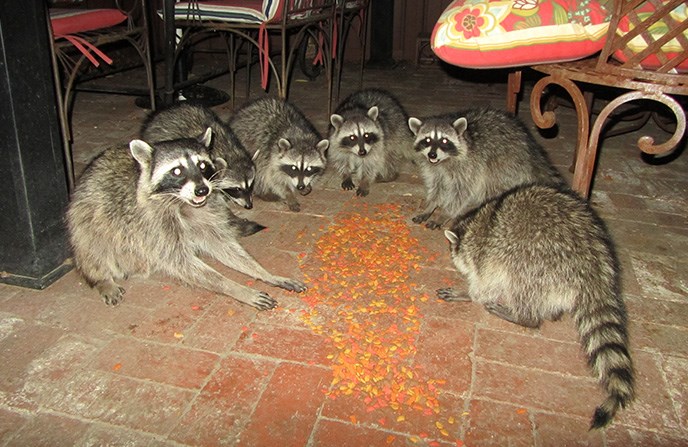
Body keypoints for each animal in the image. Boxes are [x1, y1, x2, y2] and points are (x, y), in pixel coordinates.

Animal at [66, 130, 306, 310]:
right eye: (177, 171)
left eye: (202, 166)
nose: (202, 190)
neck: (182, 201)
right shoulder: (152, 222)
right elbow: (180, 261)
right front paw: (236, 289)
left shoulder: (206, 212)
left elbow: (222, 245)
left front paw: (264, 273)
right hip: (86, 217)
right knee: (93, 246)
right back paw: (101, 278)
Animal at [408, 107, 564, 229]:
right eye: (427, 140)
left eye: (444, 141)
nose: (432, 154)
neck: (443, 161)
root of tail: (533, 153)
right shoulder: (434, 170)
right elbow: (437, 187)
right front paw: (431, 206)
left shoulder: (469, 166)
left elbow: (460, 193)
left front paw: (445, 214)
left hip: (506, 163)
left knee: (493, 185)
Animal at [440, 184, 636, 428]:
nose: (453, 261)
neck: (476, 222)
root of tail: (594, 265)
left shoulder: (487, 253)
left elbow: (486, 284)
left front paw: (468, 293)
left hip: (537, 259)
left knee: (521, 283)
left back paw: (524, 316)